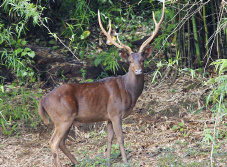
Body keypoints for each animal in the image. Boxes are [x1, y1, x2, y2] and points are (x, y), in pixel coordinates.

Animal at [38, 0, 164, 166]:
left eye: (142, 60)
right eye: (130, 61)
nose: (138, 71)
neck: (129, 91)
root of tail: (42, 100)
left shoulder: (108, 116)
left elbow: (109, 138)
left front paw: (108, 160)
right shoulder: (116, 112)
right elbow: (121, 137)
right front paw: (125, 160)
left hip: (66, 120)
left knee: (62, 142)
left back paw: (78, 162)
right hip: (62, 117)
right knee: (53, 142)